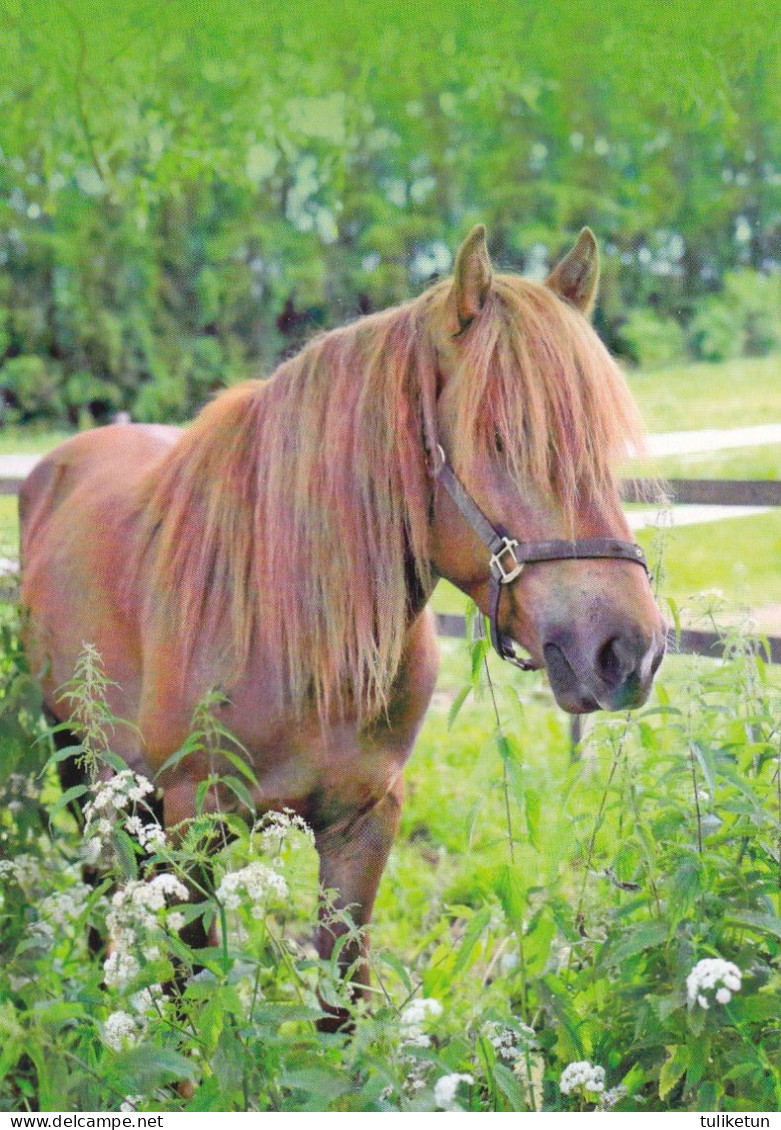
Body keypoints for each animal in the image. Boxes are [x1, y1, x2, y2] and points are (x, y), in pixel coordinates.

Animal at [18, 224, 664, 1003]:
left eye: (600, 445)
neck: (288, 628)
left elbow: (341, 1002)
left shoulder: (363, 824)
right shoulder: (192, 825)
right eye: (502, 438)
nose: (628, 651)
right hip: (80, 762)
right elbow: (188, 1002)